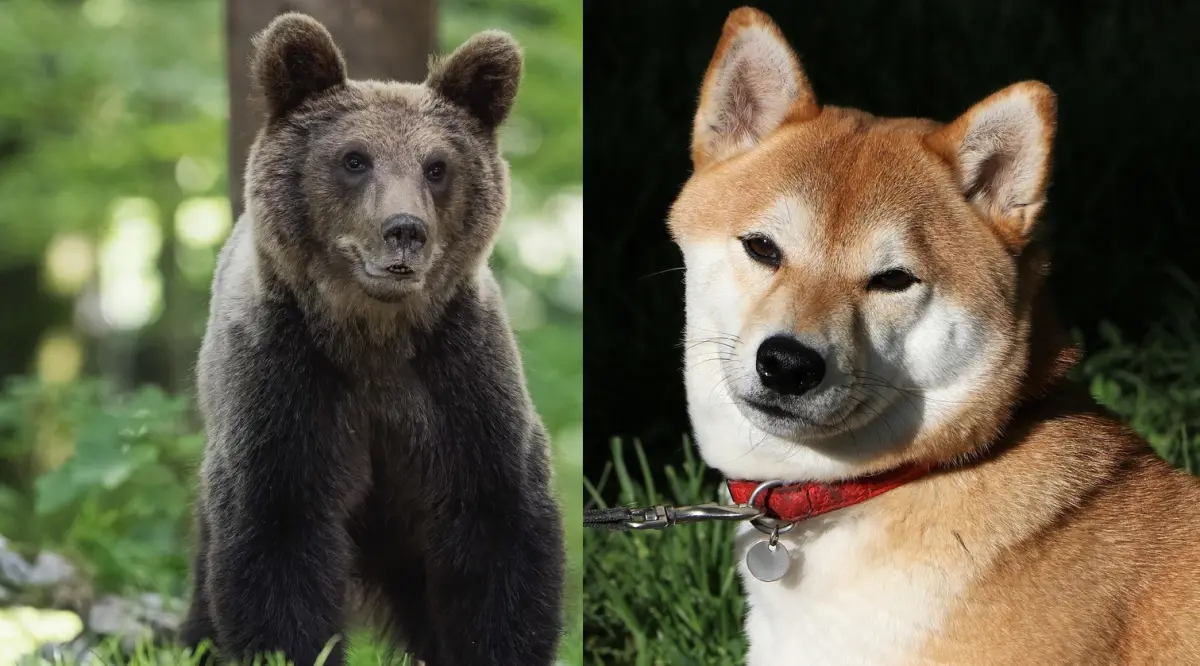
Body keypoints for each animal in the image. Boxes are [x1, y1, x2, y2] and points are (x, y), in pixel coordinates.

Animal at [178, 13, 565, 666]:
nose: (404, 230)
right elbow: (278, 543)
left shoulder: (461, 385)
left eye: (436, 166)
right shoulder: (286, 387)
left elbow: (497, 534)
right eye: (354, 159)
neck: (375, 338)